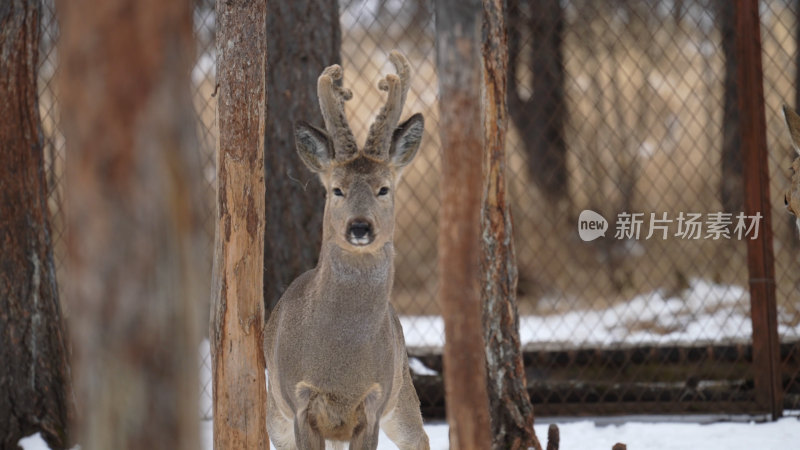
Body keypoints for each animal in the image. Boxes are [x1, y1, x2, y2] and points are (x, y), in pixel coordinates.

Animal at [264, 51, 432, 448]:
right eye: (336, 189)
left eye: (384, 188)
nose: (359, 227)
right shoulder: (299, 403)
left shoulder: (374, 401)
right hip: (274, 413)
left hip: (402, 392)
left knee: (421, 437)